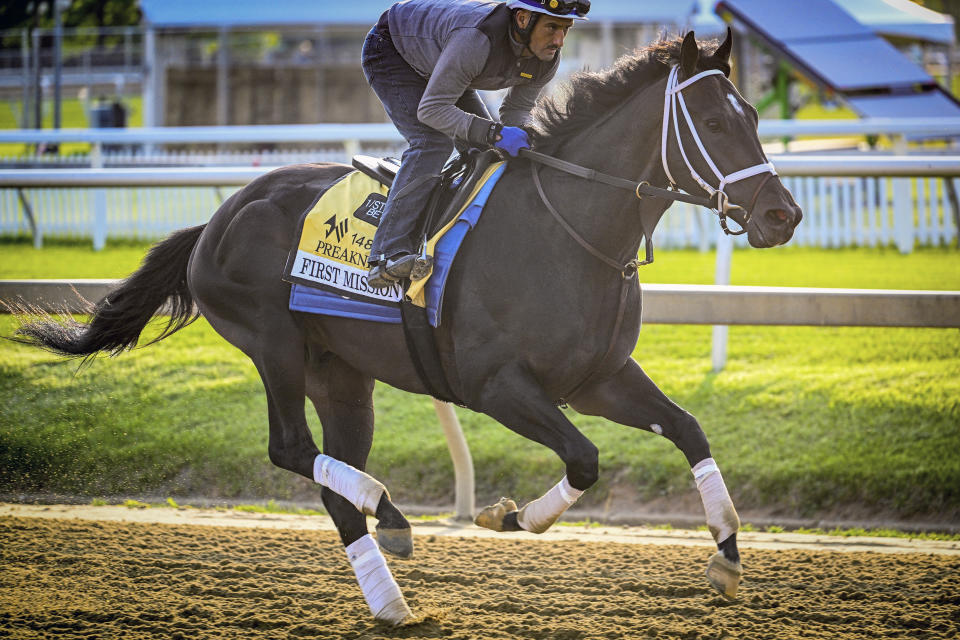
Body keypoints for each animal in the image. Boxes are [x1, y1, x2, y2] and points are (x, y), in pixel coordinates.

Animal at [15, 31, 804, 624]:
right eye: (714, 123)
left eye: (754, 118)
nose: (782, 215)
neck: (569, 230)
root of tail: (215, 218)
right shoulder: (496, 385)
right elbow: (584, 459)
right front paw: (507, 517)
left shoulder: (597, 378)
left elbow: (689, 430)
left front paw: (726, 557)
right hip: (273, 343)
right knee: (290, 449)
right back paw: (382, 510)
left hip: (341, 375)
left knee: (331, 475)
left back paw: (389, 581)